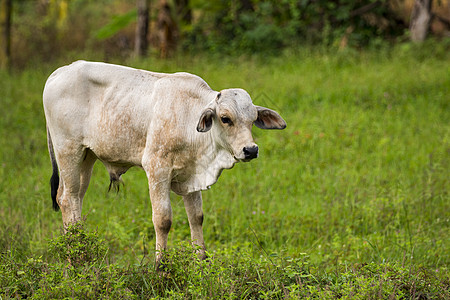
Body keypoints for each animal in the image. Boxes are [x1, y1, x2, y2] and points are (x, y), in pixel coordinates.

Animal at [44, 61, 286, 268]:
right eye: (226, 118)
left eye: (253, 119)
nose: (251, 150)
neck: (187, 118)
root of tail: (59, 72)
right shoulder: (156, 168)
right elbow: (163, 220)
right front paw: (160, 266)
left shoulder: (191, 175)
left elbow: (196, 217)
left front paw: (201, 263)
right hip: (68, 151)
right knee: (68, 199)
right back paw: (75, 258)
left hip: (87, 157)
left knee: (74, 199)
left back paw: (77, 252)